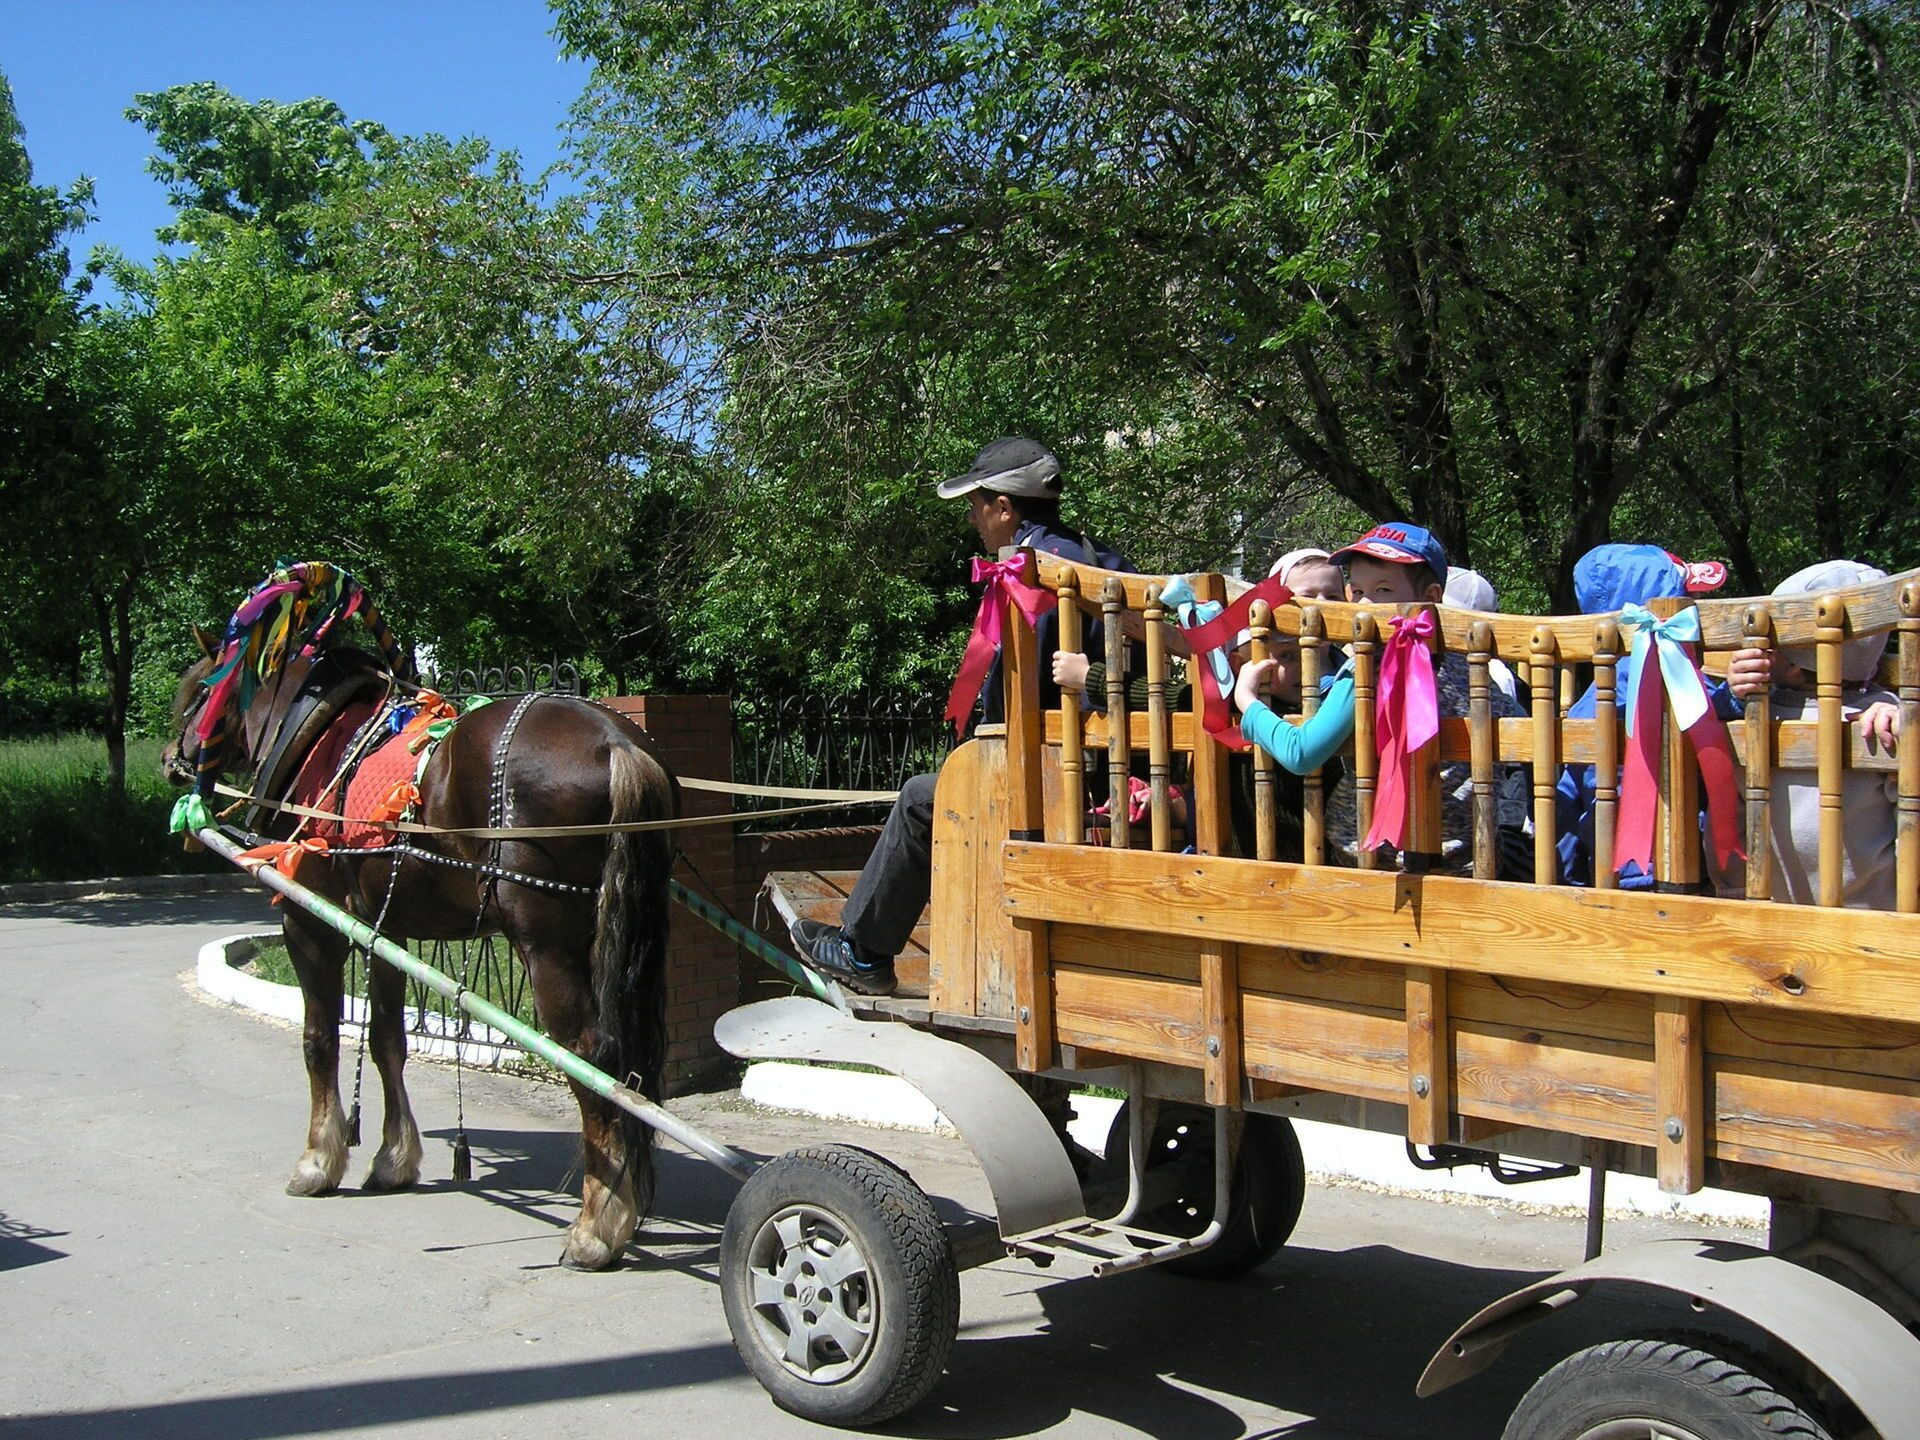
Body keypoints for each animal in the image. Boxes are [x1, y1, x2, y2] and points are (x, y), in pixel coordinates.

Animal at [165, 648, 679, 1267]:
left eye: (197, 693)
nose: (169, 760)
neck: (318, 742)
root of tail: (614, 741)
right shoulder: (385, 929)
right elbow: (388, 1039)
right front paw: (394, 1159)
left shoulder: (310, 922)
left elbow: (319, 1040)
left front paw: (317, 1161)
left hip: (547, 946)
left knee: (592, 1055)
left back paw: (595, 1228)